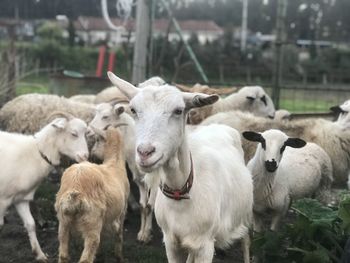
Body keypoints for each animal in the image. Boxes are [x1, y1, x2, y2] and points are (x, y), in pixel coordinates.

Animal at [0, 114, 89, 262]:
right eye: (73, 134)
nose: (85, 156)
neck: (34, 154)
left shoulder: (21, 198)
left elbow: (30, 224)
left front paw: (39, 254)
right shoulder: (3, 200)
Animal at [55, 128, 129, 263]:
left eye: (97, 140)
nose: (92, 153)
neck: (115, 162)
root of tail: (74, 190)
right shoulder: (122, 211)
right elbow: (119, 235)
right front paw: (119, 257)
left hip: (63, 222)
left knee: (63, 255)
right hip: (92, 221)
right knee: (86, 258)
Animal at [89, 102, 153, 243]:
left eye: (106, 116)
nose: (88, 131)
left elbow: (150, 206)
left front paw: (147, 234)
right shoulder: (140, 180)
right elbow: (143, 206)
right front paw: (142, 233)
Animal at [105, 71, 253, 263]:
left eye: (178, 111)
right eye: (133, 110)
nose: (145, 152)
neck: (181, 192)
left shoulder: (206, 245)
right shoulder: (171, 243)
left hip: (245, 214)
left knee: (246, 240)